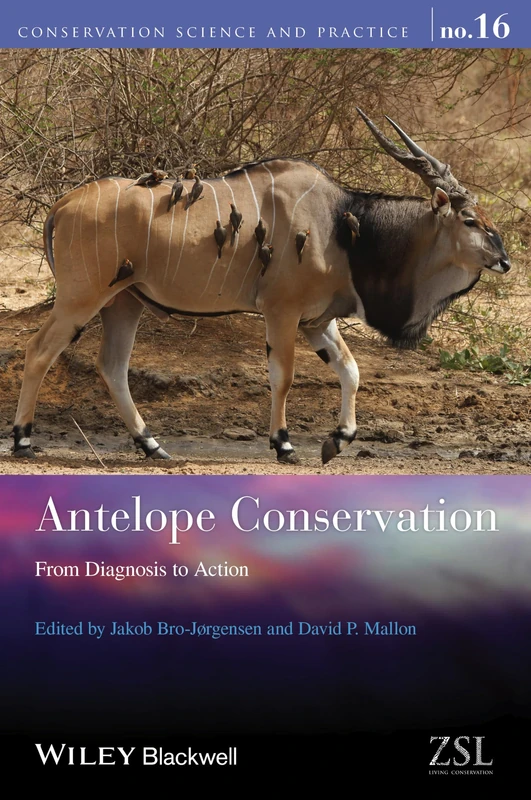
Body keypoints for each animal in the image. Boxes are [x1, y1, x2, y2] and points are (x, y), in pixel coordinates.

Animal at [12, 110, 510, 465]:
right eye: (470, 220)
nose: (505, 260)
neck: (343, 225)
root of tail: (64, 202)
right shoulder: (282, 312)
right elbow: (283, 377)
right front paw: (284, 444)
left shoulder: (317, 321)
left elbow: (350, 370)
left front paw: (338, 440)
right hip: (82, 297)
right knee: (39, 351)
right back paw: (22, 440)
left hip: (124, 302)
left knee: (112, 366)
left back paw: (152, 446)